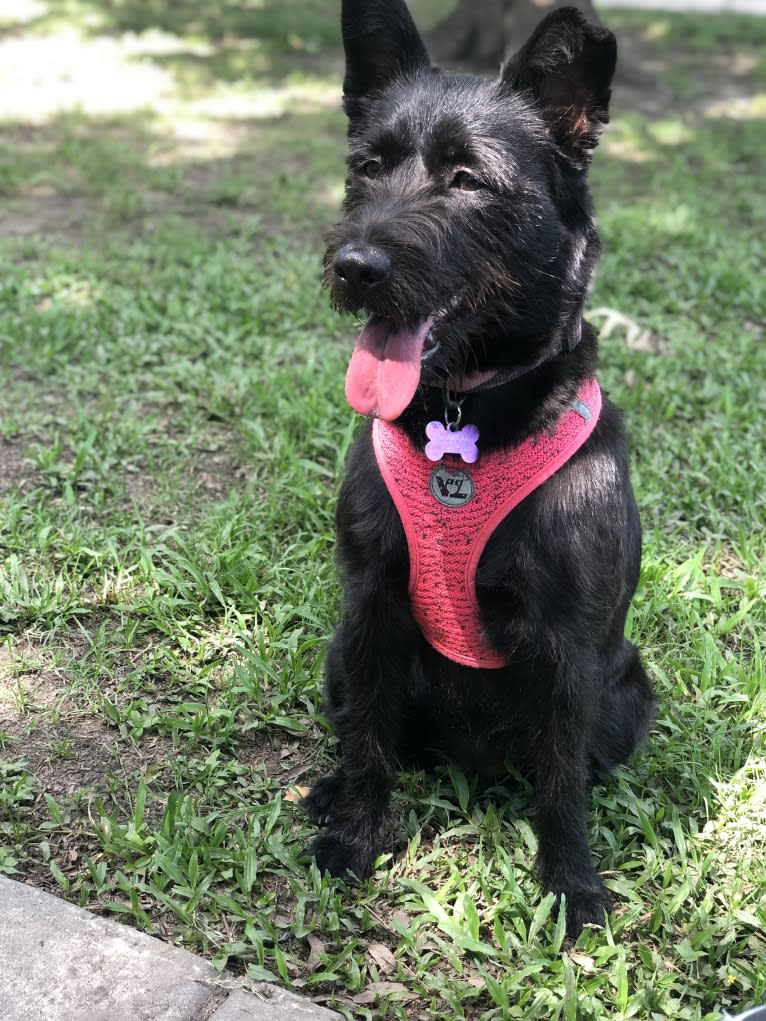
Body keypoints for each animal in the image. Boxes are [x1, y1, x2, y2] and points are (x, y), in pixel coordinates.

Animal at [306, 0, 653, 935]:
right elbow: (369, 744)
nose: (355, 267)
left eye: (466, 178)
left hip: (626, 687)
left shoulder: (567, 647)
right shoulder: (371, 606)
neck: (461, 421)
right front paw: (354, 830)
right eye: (368, 167)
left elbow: (562, 785)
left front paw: (570, 882)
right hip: (340, 653)